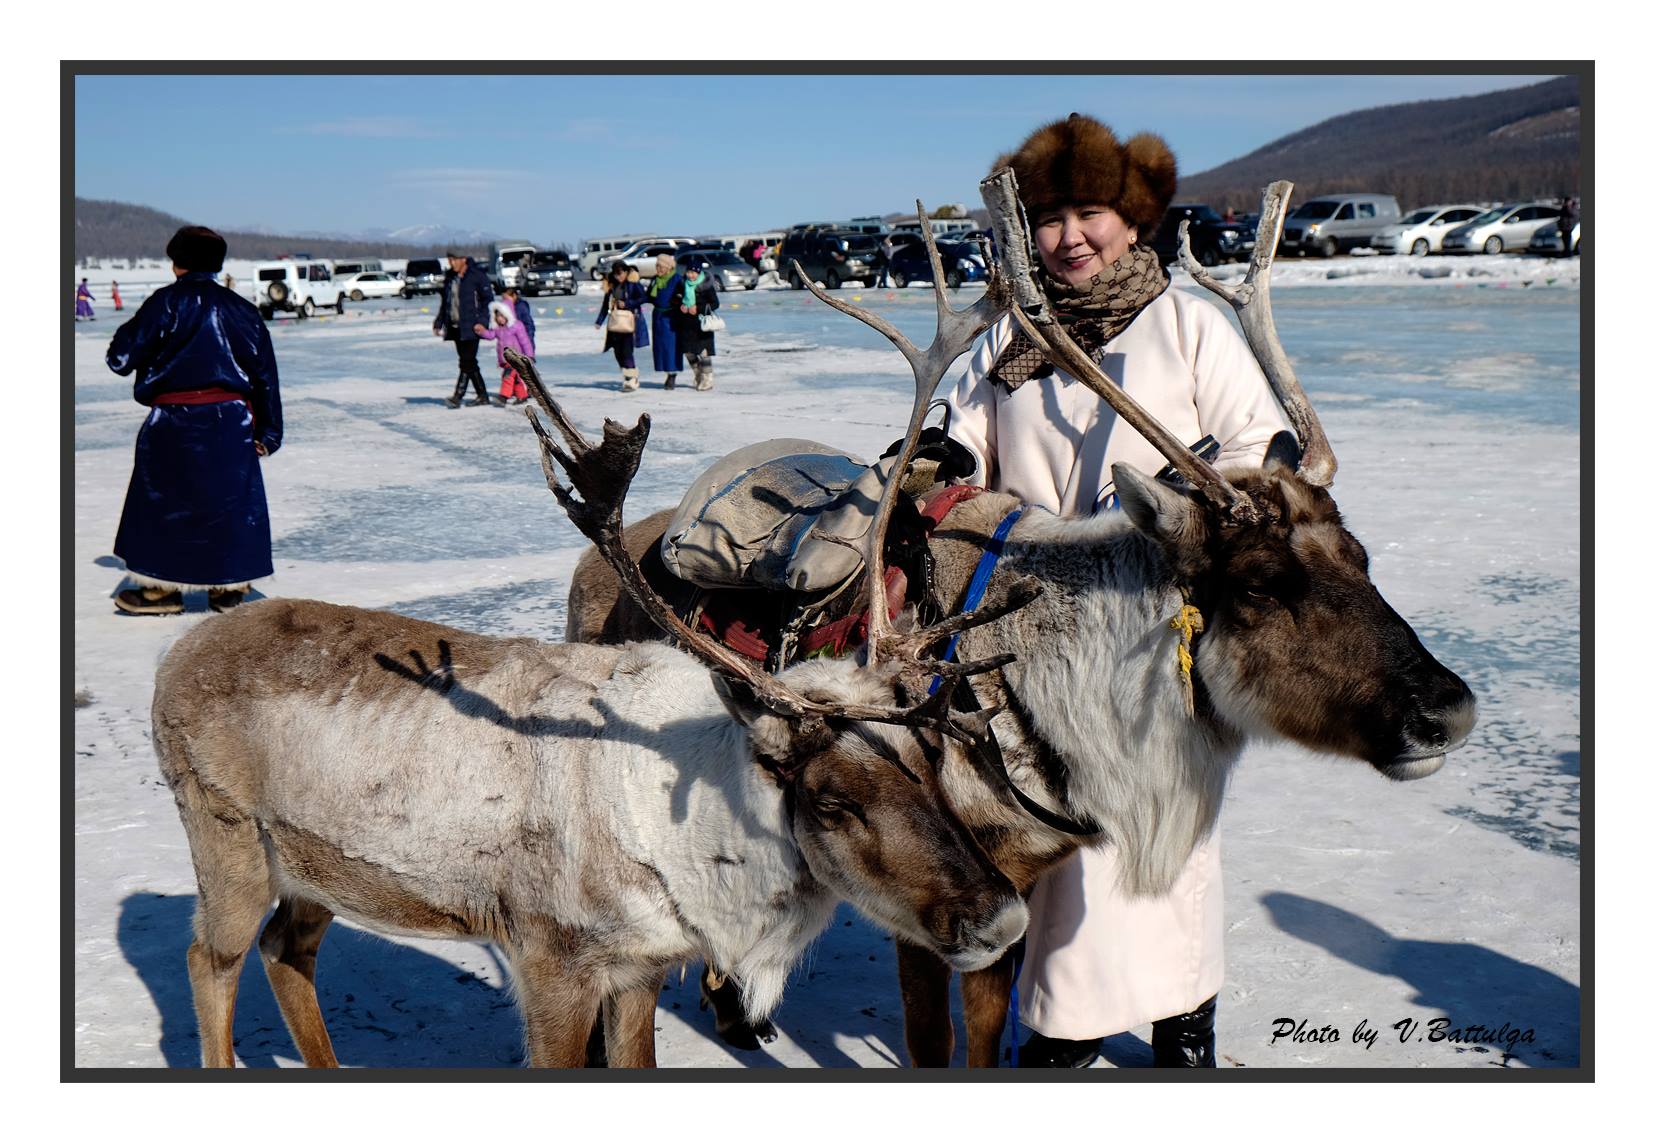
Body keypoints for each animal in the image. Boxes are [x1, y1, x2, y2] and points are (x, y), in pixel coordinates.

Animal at [149, 367, 1041, 1069]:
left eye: (933, 761)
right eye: (832, 801)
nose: (1003, 920)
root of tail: (174, 658)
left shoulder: (638, 967)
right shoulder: (551, 961)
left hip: (315, 868)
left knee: (286, 951)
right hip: (227, 841)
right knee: (209, 959)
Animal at [555, 175, 1479, 1067]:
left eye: (1360, 556)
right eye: (1259, 587)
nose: (1450, 709)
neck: (1040, 696)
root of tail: (596, 562)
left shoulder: (1012, 886)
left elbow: (989, 1037)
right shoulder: (929, 901)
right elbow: (933, 1046)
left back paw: (741, 1016)